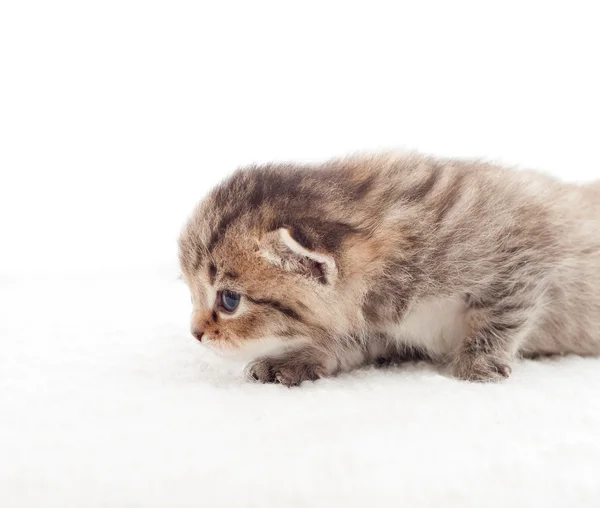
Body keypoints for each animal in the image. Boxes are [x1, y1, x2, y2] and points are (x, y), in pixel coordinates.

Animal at [178, 153, 600, 382]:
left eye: (229, 301)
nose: (195, 334)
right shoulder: (385, 328)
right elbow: (347, 343)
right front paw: (297, 359)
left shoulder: (523, 256)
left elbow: (501, 317)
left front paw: (477, 365)